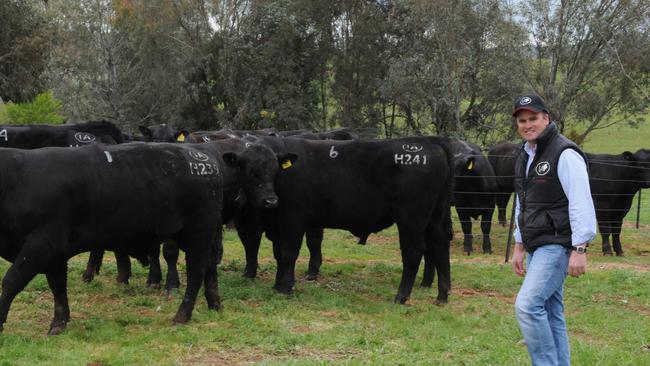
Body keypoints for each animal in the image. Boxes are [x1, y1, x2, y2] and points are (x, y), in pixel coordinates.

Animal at [0, 142, 229, 334]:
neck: (18, 180)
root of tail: (200, 153)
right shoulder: (55, 252)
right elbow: (58, 286)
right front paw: (59, 323)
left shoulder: (42, 244)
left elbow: (11, 280)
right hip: (203, 236)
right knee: (210, 269)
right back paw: (214, 305)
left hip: (199, 233)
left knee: (196, 273)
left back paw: (181, 317)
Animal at [251, 137, 454, 304]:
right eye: (250, 170)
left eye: (273, 170)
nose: (269, 200)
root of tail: (431, 144)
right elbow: (280, 254)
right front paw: (279, 284)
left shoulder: (293, 219)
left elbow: (288, 253)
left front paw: (285, 287)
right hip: (435, 216)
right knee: (440, 245)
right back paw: (442, 296)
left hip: (411, 218)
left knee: (414, 251)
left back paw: (401, 296)